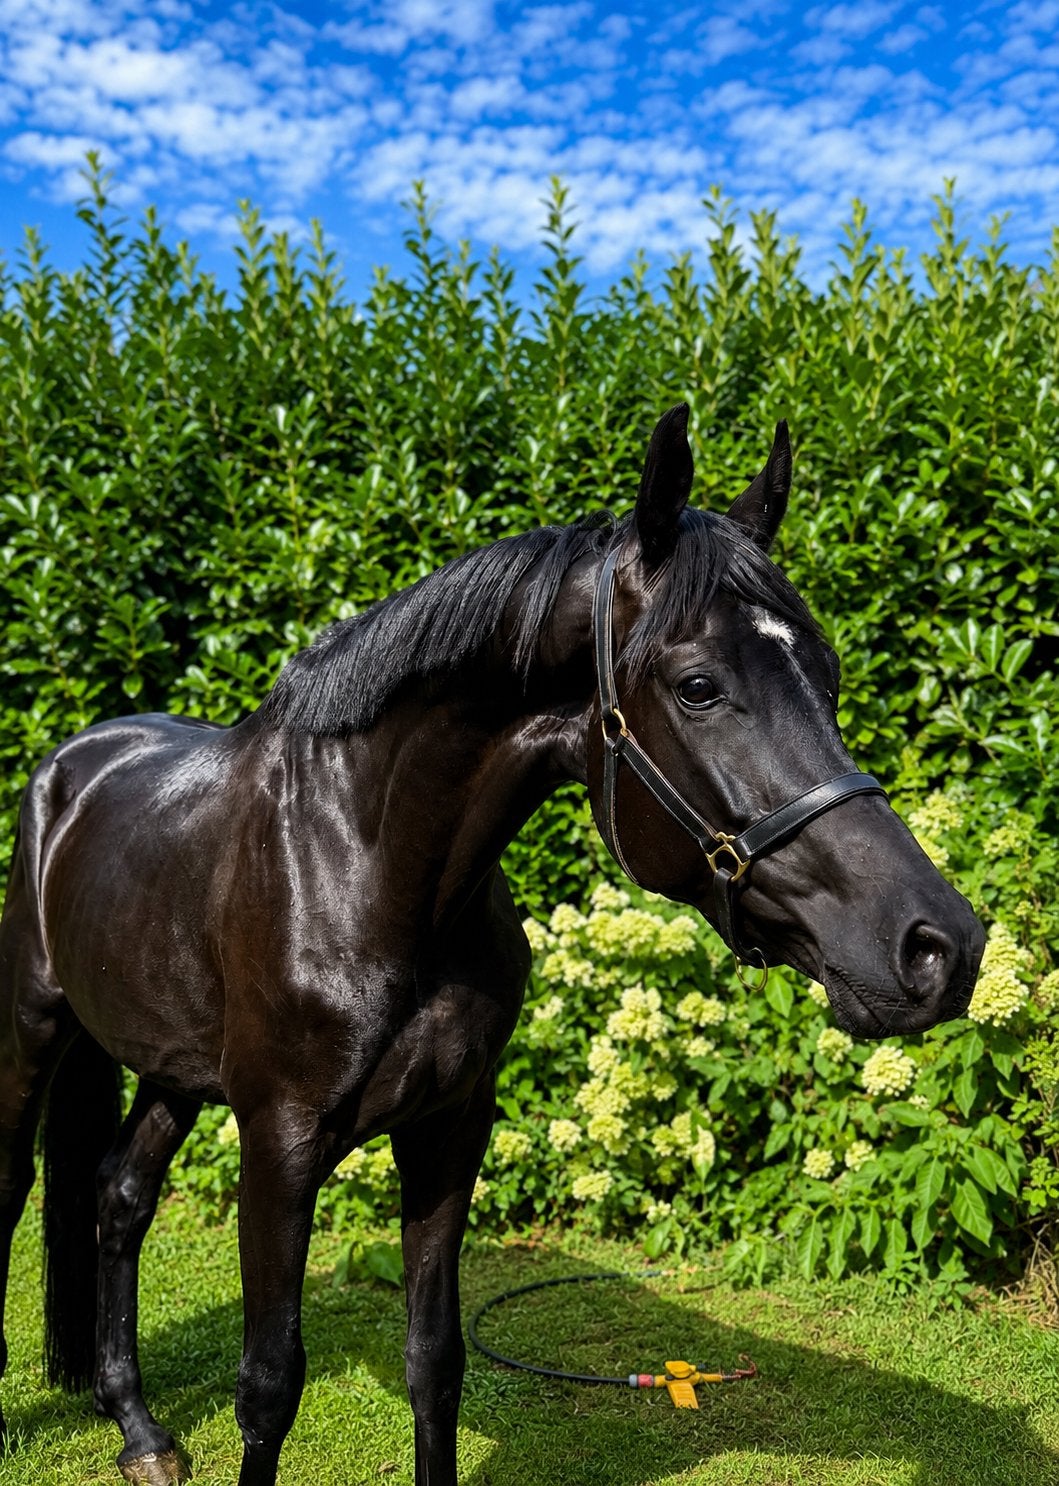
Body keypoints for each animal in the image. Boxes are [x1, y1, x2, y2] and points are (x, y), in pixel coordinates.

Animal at [0, 404, 984, 1485]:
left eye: (829, 674)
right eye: (697, 685)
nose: (942, 946)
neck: (371, 867)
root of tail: (73, 762)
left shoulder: (449, 1123)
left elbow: (435, 1360)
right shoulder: (280, 1141)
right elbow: (268, 1384)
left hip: (174, 1073)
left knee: (120, 1195)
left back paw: (138, 1429)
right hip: (34, 1027)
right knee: (15, 1190)